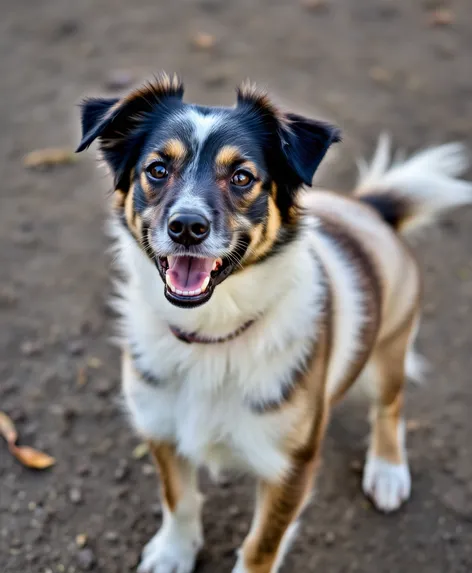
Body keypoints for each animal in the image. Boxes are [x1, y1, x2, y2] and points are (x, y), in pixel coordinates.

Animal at [75, 73, 472, 568]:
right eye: (157, 170)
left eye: (242, 177)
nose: (187, 227)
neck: (212, 335)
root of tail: (371, 210)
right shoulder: (160, 427)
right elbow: (178, 498)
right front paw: (173, 553)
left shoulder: (291, 468)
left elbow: (261, 547)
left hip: (388, 350)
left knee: (390, 405)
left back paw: (387, 471)